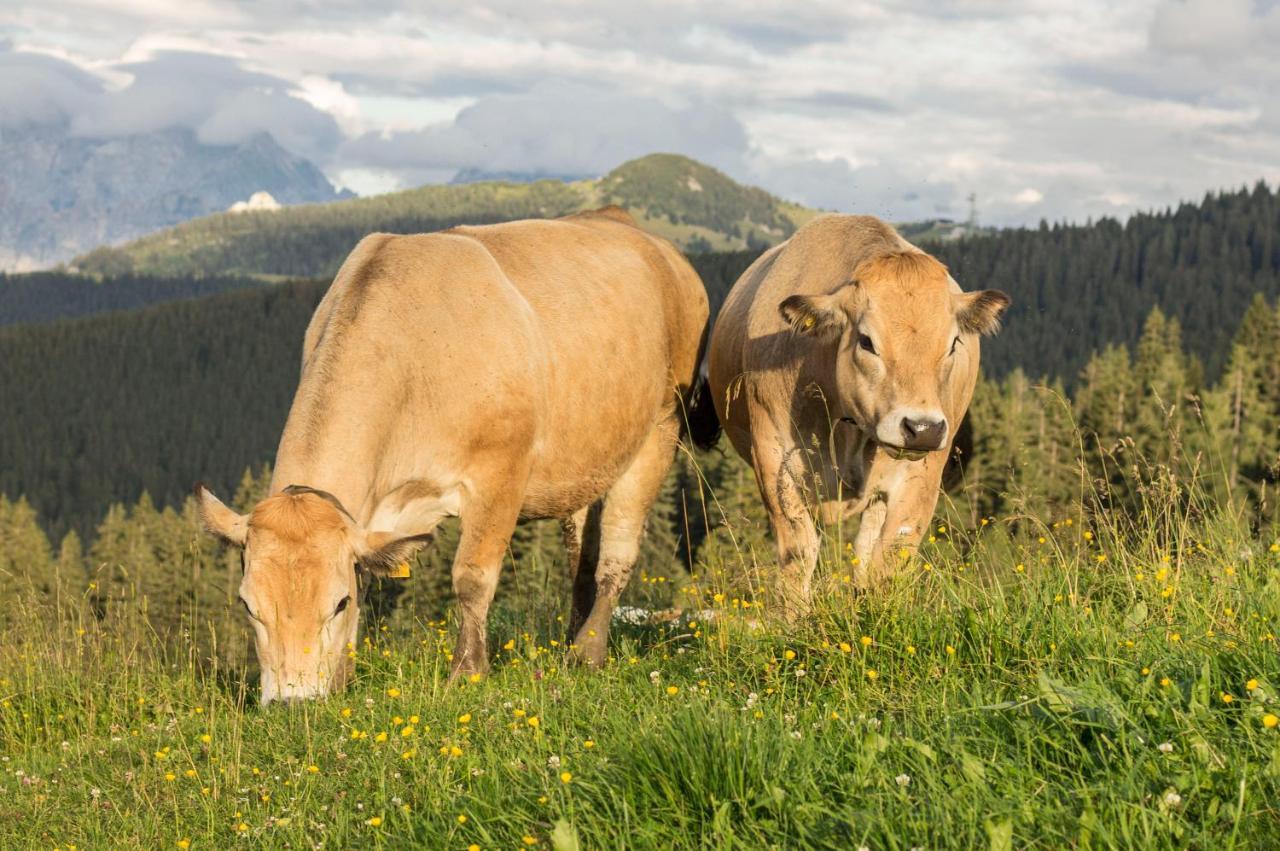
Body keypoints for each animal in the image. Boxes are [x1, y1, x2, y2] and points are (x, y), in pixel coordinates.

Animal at [192, 207, 711, 701]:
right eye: (247, 604)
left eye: (337, 603)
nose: (293, 702)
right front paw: (342, 678)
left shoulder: (501, 472)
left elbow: (472, 577)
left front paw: (467, 670)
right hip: (587, 455)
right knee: (580, 554)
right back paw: (571, 637)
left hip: (659, 430)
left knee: (616, 555)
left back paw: (587, 652)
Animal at [701, 211, 1008, 611]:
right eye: (866, 341)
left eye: (954, 342)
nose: (922, 428)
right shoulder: (774, 461)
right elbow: (798, 554)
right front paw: (794, 619)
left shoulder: (921, 474)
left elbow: (890, 556)